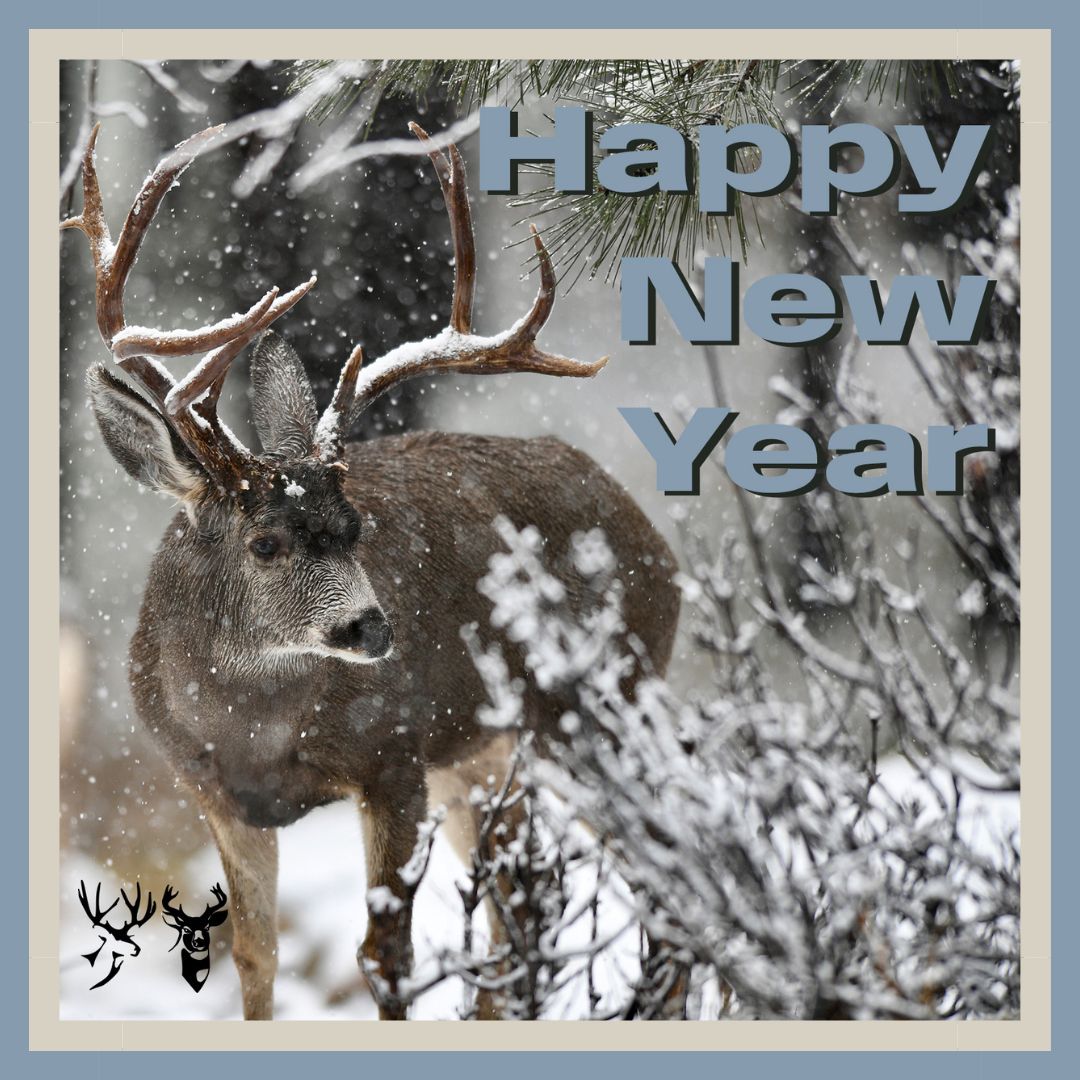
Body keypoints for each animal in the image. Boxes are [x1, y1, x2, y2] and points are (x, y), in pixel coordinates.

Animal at [61, 119, 681, 1020]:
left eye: (355, 530)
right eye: (265, 543)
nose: (372, 627)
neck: (254, 730)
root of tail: (653, 537)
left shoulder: (395, 755)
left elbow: (385, 953)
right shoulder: (212, 791)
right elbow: (255, 953)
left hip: (602, 702)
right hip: (485, 755)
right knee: (526, 902)